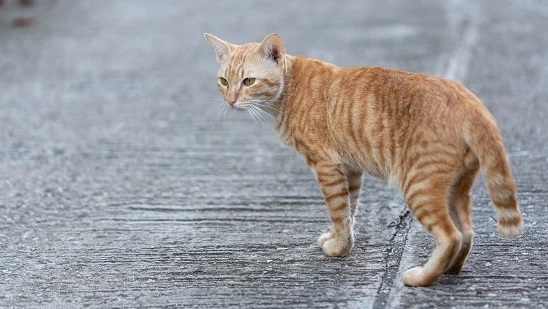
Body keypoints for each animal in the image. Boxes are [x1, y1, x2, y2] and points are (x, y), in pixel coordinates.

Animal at [204, 32, 524, 286]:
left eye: (248, 81)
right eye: (223, 81)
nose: (230, 101)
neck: (290, 88)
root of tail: (470, 101)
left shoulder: (327, 165)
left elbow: (337, 209)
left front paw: (339, 249)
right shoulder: (351, 168)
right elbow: (349, 209)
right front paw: (340, 239)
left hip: (419, 184)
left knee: (451, 235)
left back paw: (422, 277)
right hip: (455, 187)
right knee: (467, 232)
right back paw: (450, 269)